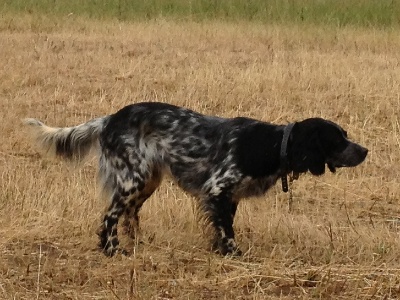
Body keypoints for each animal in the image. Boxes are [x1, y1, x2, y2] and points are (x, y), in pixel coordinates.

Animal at [23, 102, 368, 256]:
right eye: (338, 140)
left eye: (345, 135)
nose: (365, 150)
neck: (272, 146)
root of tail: (110, 119)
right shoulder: (217, 189)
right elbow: (227, 231)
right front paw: (234, 254)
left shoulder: (229, 197)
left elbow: (222, 226)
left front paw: (220, 250)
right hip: (132, 179)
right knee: (109, 217)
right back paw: (112, 250)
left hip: (148, 181)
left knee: (131, 215)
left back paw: (139, 243)